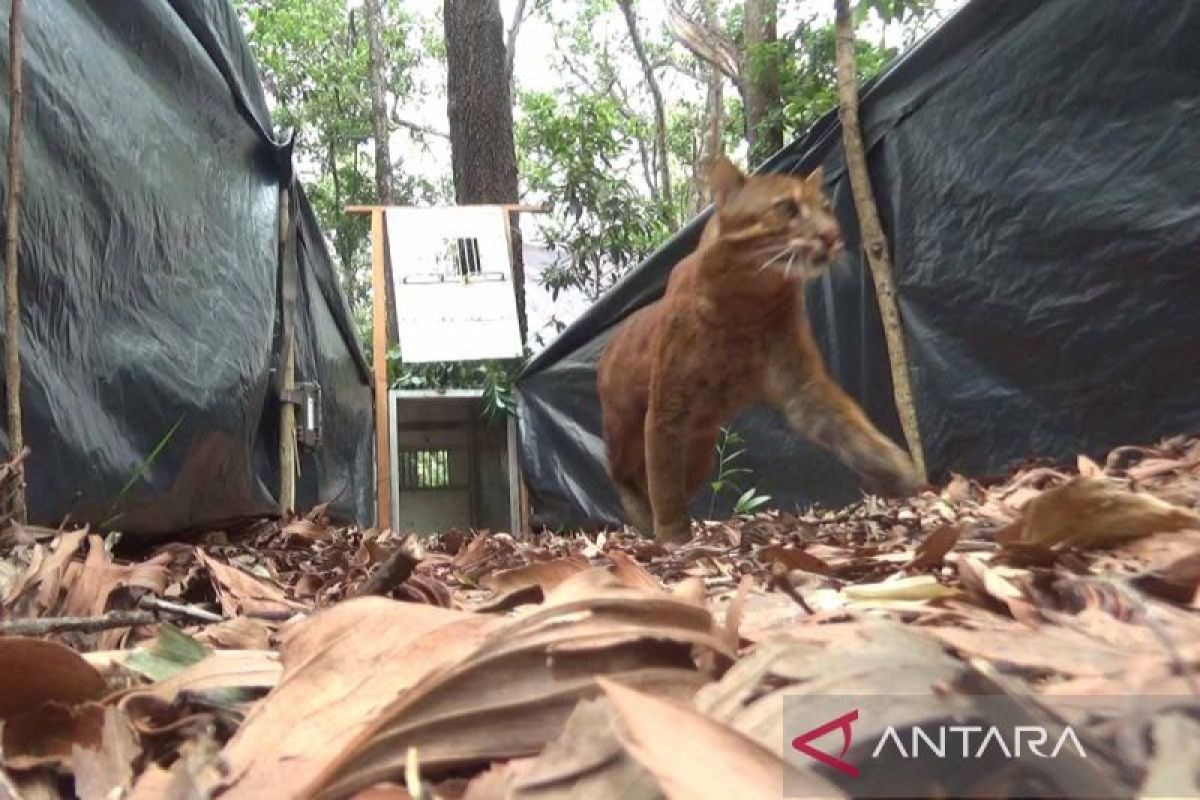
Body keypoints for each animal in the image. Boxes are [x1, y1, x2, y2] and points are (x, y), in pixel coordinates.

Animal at [597, 155, 916, 544]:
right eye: (786, 208)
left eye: (826, 208)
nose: (831, 235)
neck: (747, 301)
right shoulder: (667, 406)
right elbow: (664, 485)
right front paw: (673, 537)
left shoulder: (802, 386)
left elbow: (848, 423)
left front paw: (898, 469)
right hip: (624, 428)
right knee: (621, 470)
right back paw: (642, 516)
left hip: (699, 449)